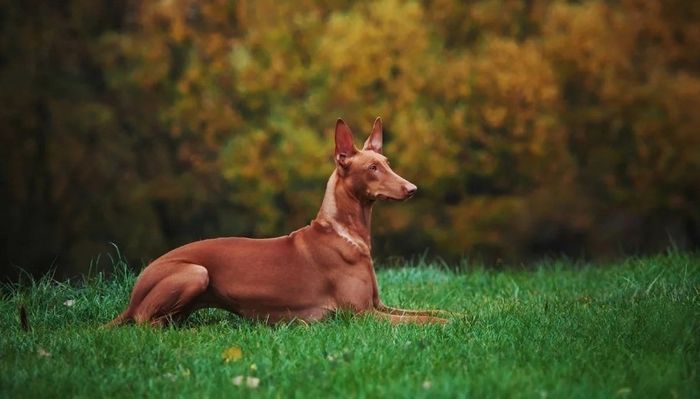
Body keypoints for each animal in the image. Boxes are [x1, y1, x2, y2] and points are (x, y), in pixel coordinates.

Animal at [109, 117, 448, 326]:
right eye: (373, 168)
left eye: (387, 163)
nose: (412, 189)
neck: (345, 234)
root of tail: (133, 294)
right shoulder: (361, 314)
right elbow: (424, 320)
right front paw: (446, 325)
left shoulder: (378, 306)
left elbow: (436, 309)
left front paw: (460, 316)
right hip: (195, 272)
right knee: (146, 324)